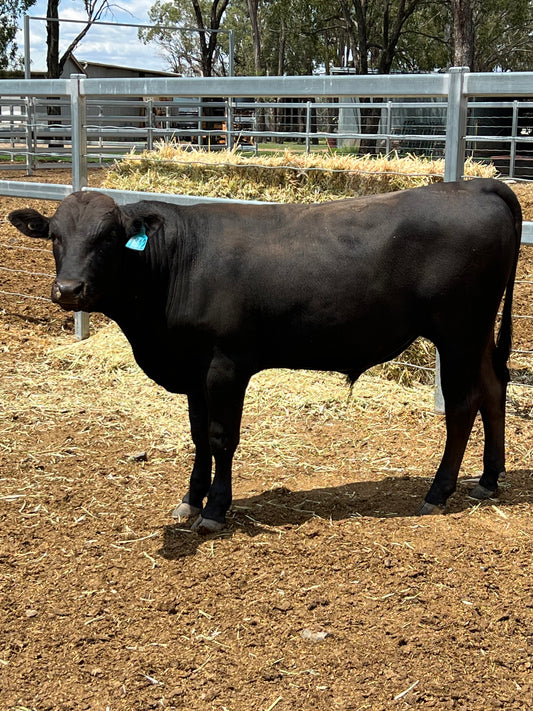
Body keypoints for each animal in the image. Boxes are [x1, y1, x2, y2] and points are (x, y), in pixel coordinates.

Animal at [8, 178, 522, 532]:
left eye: (109, 237)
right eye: (54, 236)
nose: (69, 290)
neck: (178, 262)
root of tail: (475, 184)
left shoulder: (226, 366)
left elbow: (221, 439)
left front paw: (216, 509)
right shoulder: (193, 370)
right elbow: (198, 437)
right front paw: (191, 499)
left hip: (458, 332)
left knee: (462, 406)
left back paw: (438, 491)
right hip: (475, 335)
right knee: (493, 389)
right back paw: (488, 479)